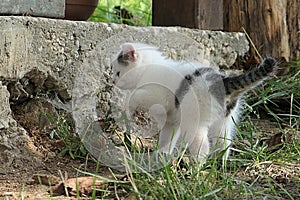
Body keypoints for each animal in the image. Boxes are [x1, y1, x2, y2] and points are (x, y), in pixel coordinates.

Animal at [110, 42, 276, 162]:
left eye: (117, 72)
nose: (113, 81)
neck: (149, 68)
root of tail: (224, 80)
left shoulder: (158, 96)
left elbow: (135, 95)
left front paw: (127, 107)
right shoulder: (172, 120)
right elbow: (167, 137)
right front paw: (163, 153)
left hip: (194, 121)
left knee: (202, 147)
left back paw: (197, 170)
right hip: (224, 122)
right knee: (224, 144)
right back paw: (219, 166)